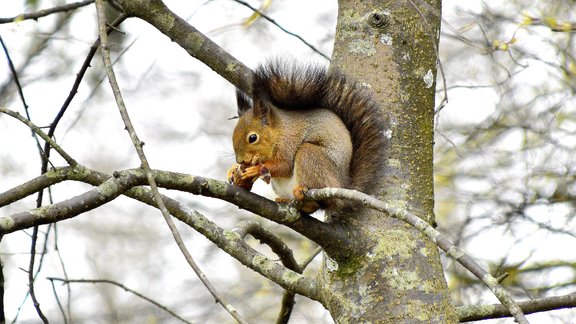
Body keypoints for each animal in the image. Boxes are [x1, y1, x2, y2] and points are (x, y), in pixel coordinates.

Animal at [226, 59, 388, 214]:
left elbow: (285, 165)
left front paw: (256, 169)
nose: (240, 160)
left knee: (316, 202)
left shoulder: (289, 142)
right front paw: (234, 171)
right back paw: (286, 200)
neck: (279, 132)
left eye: (253, 138)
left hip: (311, 157)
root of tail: (342, 185)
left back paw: (302, 194)